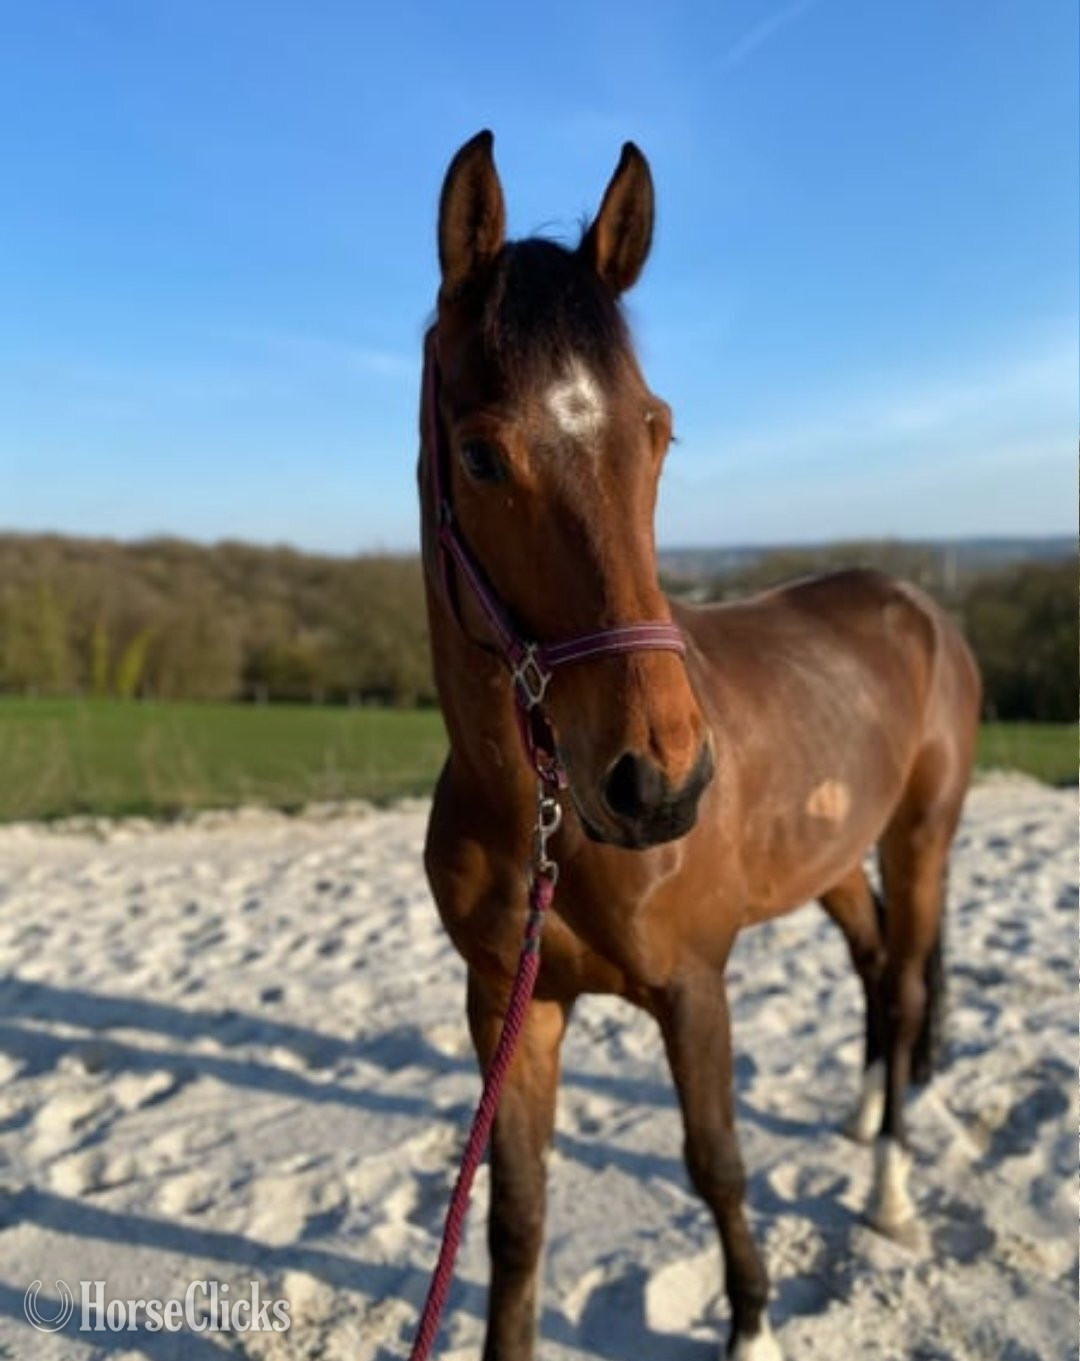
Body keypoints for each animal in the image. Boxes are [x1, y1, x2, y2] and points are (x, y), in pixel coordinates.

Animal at [417, 130, 981, 1361]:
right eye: (479, 456)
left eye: (657, 430)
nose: (657, 783)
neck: (539, 819)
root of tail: (920, 606)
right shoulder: (510, 1002)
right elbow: (516, 1215)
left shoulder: (694, 986)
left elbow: (717, 1162)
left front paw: (753, 1324)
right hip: (834, 857)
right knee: (876, 968)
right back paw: (862, 1112)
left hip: (922, 835)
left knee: (909, 979)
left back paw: (889, 1188)